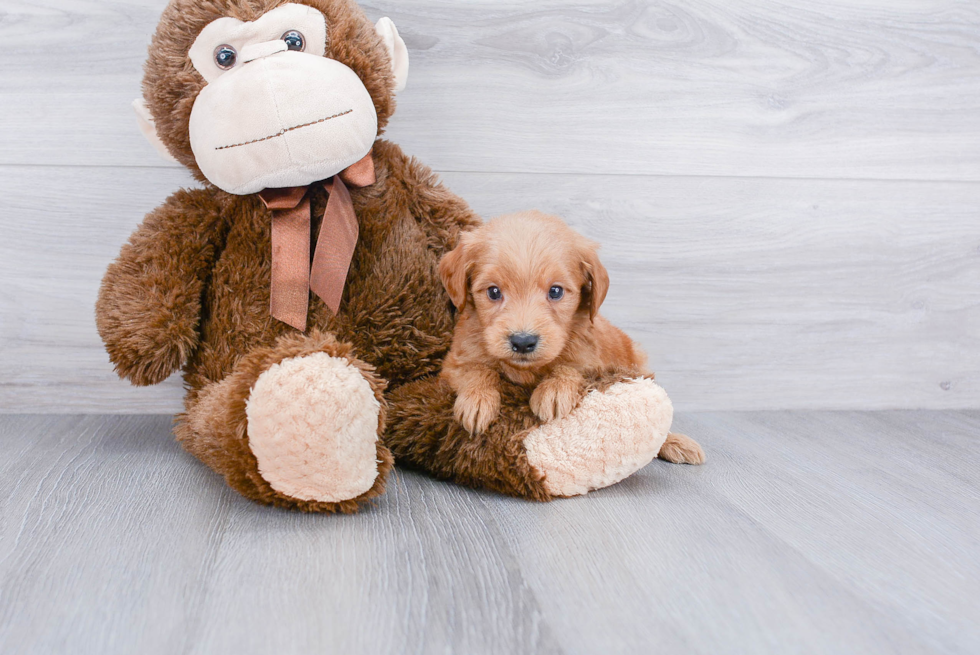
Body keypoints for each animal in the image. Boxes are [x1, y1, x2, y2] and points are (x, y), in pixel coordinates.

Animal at [438, 211, 704, 466]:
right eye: (493, 292)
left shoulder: (592, 363)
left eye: (555, 291)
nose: (523, 342)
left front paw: (555, 388)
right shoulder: (453, 363)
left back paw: (676, 442)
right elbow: (477, 369)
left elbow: (572, 367)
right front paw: (478, 398)